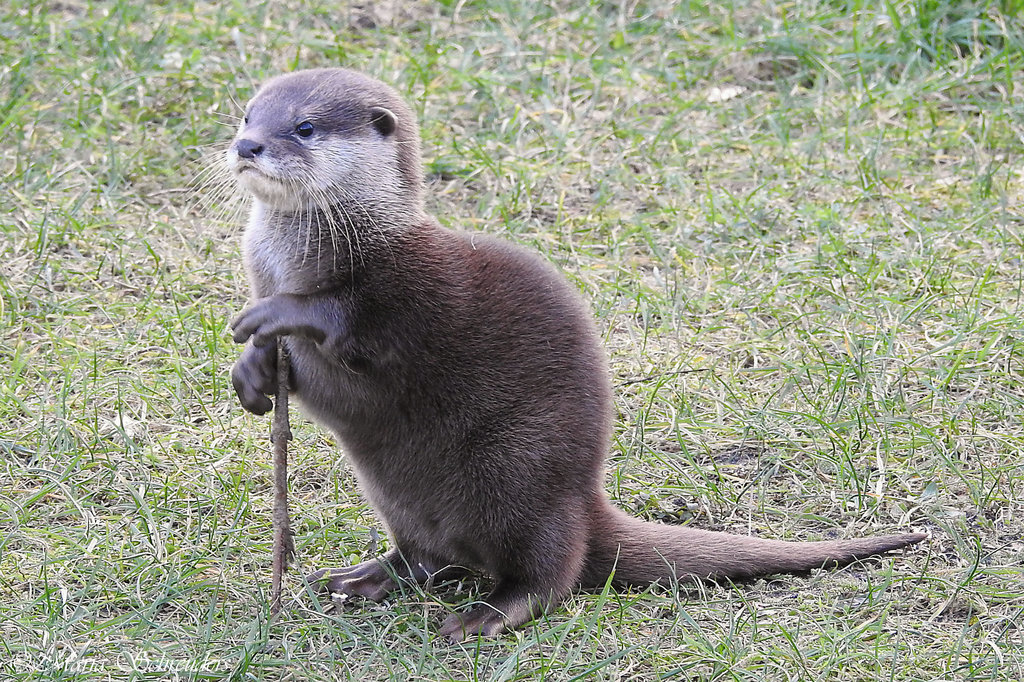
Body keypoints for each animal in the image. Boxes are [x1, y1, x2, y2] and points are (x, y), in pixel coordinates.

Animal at [225, 68, 926, 640]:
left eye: (304, 127)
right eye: (247, 114)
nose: (247, 145)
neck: (306, 254)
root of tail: (586, 503)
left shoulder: (408, 289)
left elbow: (349, 321)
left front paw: (278, 314)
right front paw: (252, 372)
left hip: (521, 469)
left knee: (548, 572)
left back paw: (487, 614)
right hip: (403, 497)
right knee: (427, 557)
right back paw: (359, 579)